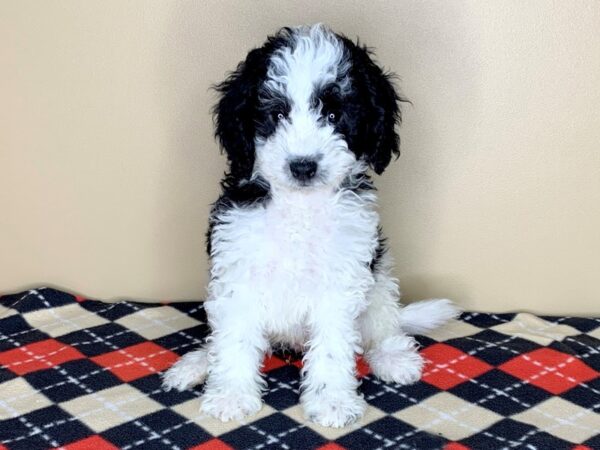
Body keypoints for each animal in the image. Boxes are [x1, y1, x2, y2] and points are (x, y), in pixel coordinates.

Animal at [162, 24, 458, 428]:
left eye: (334, 115)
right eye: (276, 114)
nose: (303, 166)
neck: (299, 207)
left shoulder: (340, 280)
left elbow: (333, 347)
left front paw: (332, 400)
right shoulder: (238, 270)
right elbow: (234, 338)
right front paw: (231, 394)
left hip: (380, 278)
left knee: (383, 325)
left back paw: (393, 357)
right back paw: (196, 364)